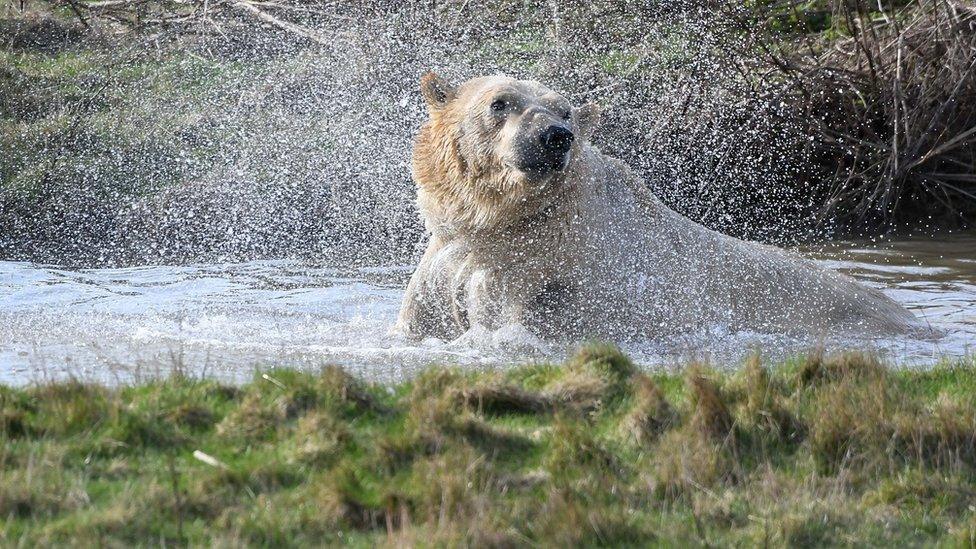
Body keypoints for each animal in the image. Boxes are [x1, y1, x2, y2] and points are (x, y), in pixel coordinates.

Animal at [392, 70, 920, 340]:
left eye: (565, 111)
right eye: (501, 102)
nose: (555, 137)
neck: (504, 225)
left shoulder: (543, 283)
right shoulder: (448, 264)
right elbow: (418, 320)